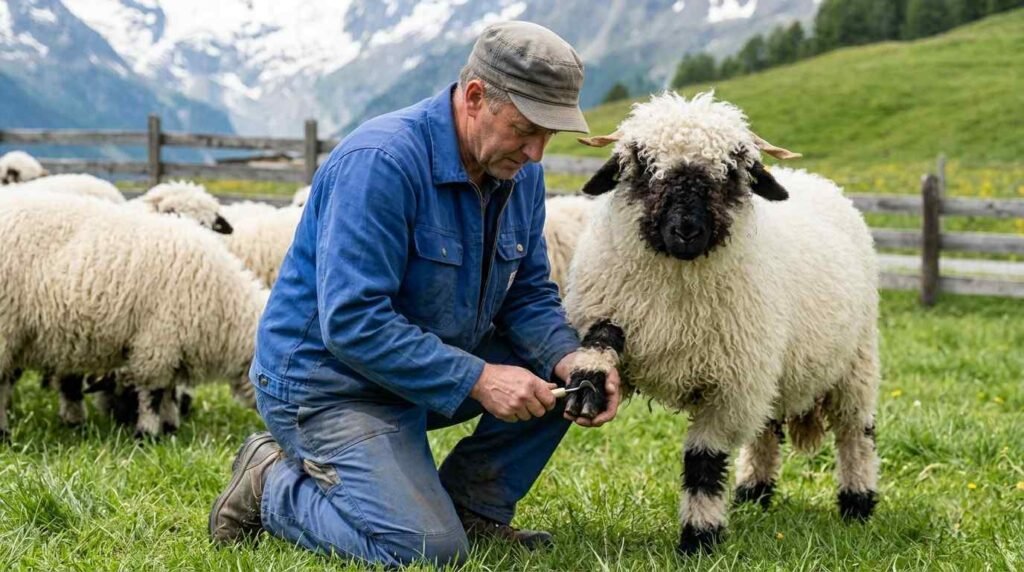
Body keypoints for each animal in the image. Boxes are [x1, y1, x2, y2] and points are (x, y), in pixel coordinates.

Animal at [0, 192, 267, 439]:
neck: (223, 303)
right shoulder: (158, 340)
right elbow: (153, 393)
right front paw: (147, 435)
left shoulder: (171, 348)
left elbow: (169, 391)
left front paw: (169, 428)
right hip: (6, 326)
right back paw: (5, 434)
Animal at [562, 92, 881, 556]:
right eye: (643, 166)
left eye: (730, 173)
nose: (686, 230)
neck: (677, 292)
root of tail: (813, 179)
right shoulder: (612, 307)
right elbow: (601, 339)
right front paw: (589, 380)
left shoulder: (729, 389)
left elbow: (704, 464)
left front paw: (699, 539)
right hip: (772, 369)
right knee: (767, 430)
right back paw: (754, 493)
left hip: (855, 362)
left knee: (856, 433)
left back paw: (857, 504)